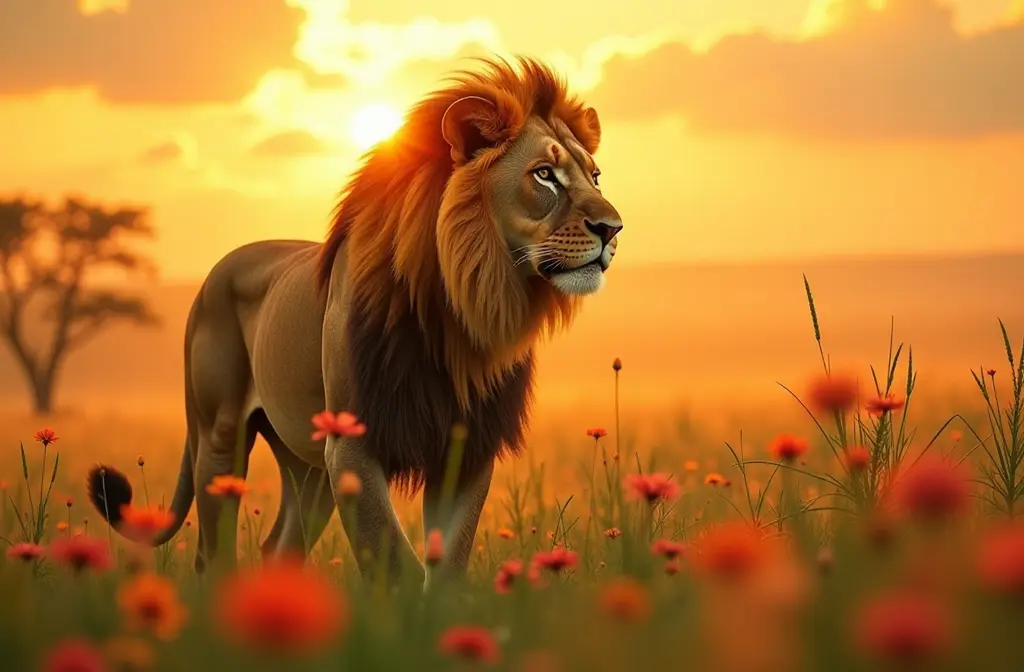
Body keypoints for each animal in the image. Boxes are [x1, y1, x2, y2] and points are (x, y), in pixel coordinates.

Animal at [86, 56, 623, 586]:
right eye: (545, 174)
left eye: (596, 177)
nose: (613, 228)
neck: (460, 308)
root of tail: (214, 273)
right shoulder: (352, 445)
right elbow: (396, 562)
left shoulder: (466, 447)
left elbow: (446, 567)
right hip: (221, 434)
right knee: (210, 552)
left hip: (308, 465)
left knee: (279, 545)